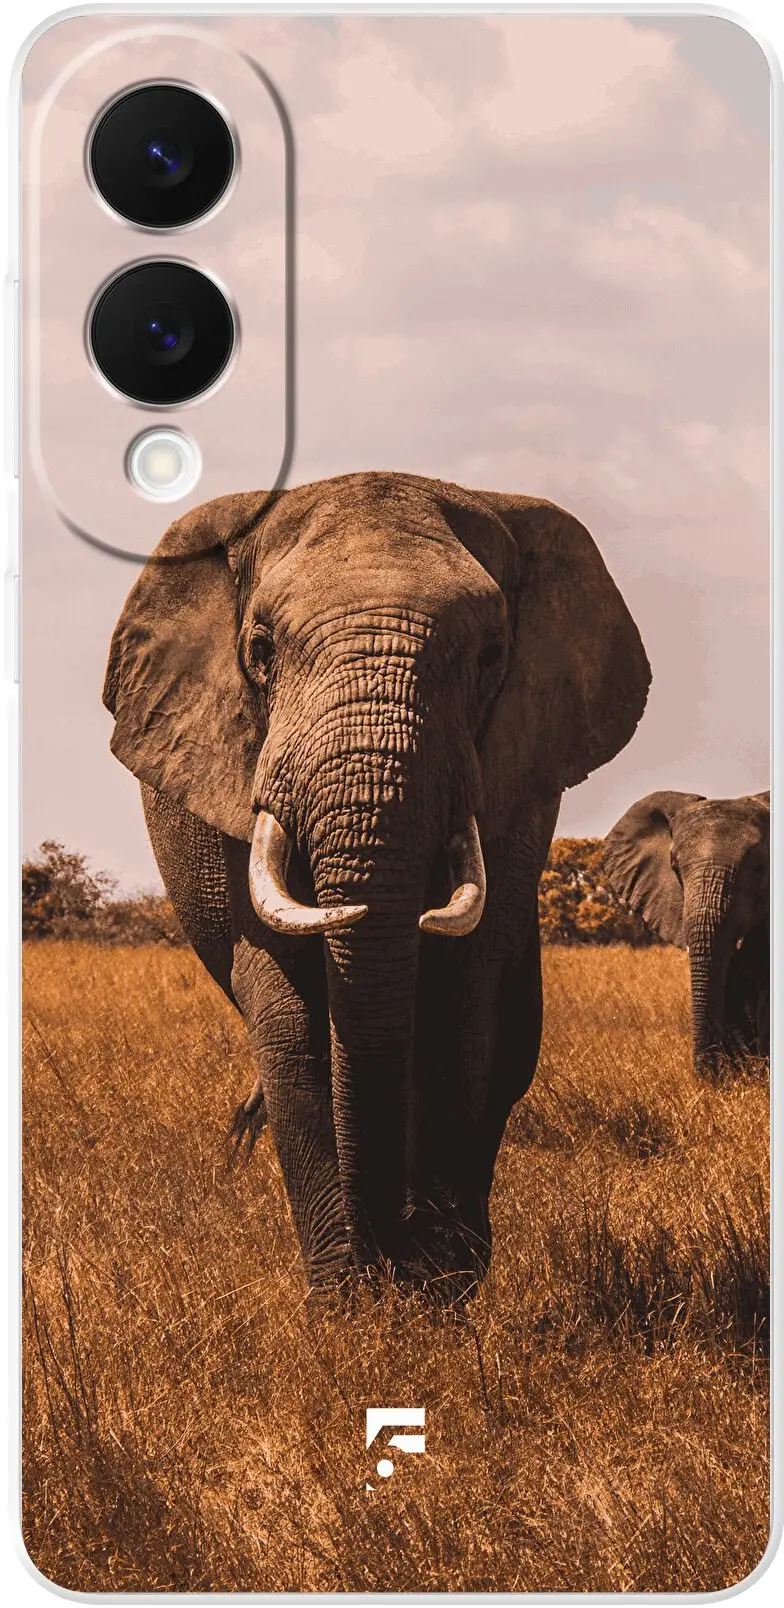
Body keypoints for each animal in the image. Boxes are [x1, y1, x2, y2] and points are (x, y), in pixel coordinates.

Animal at [104, 470, 650, 1299]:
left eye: (491, 655)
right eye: (261, 651)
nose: (392, 1244)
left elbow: (463, 1006)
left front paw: (435, 1293)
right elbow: (292, 1017)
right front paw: (349, 1304)